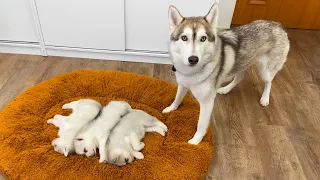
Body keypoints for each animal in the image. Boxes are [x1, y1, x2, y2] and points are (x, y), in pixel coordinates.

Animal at [162, 2, 290, 145]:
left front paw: (196, 141)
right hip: (240, 64)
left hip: (265, 71)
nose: (193, 59)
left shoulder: (207, 102)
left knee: (269, 82)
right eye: (184, 38)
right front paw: (171, 108)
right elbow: (177, 98)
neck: (192, 72)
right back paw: (225, 89)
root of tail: (277, 25)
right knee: (239, 77)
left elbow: (201, 124)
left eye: (203, 38)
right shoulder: (183, 84)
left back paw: (265, 98)